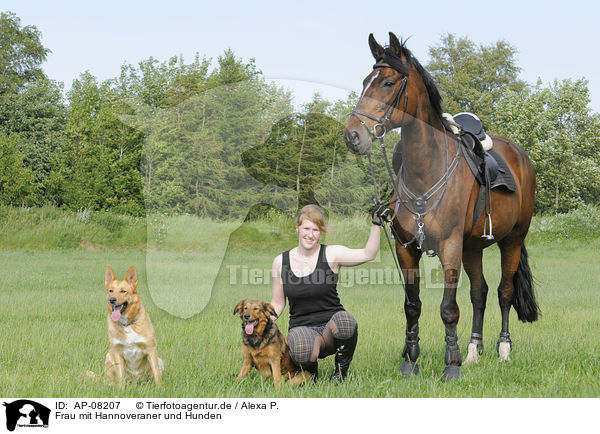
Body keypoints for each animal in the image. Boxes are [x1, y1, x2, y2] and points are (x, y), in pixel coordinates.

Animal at [342, 33, 540, 380]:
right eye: (366, 81)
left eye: (388, 83)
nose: (353, 135)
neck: (427, 169)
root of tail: (520, 156)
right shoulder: (407, 248)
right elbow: (412, 306)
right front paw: (411, 361)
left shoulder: (449, 246)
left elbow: (449, 309)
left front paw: (451, 364)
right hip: (472, 247)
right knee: (480, 293)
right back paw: (474, 350)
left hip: (512, 240)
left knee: (504, 291)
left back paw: (503, 349)